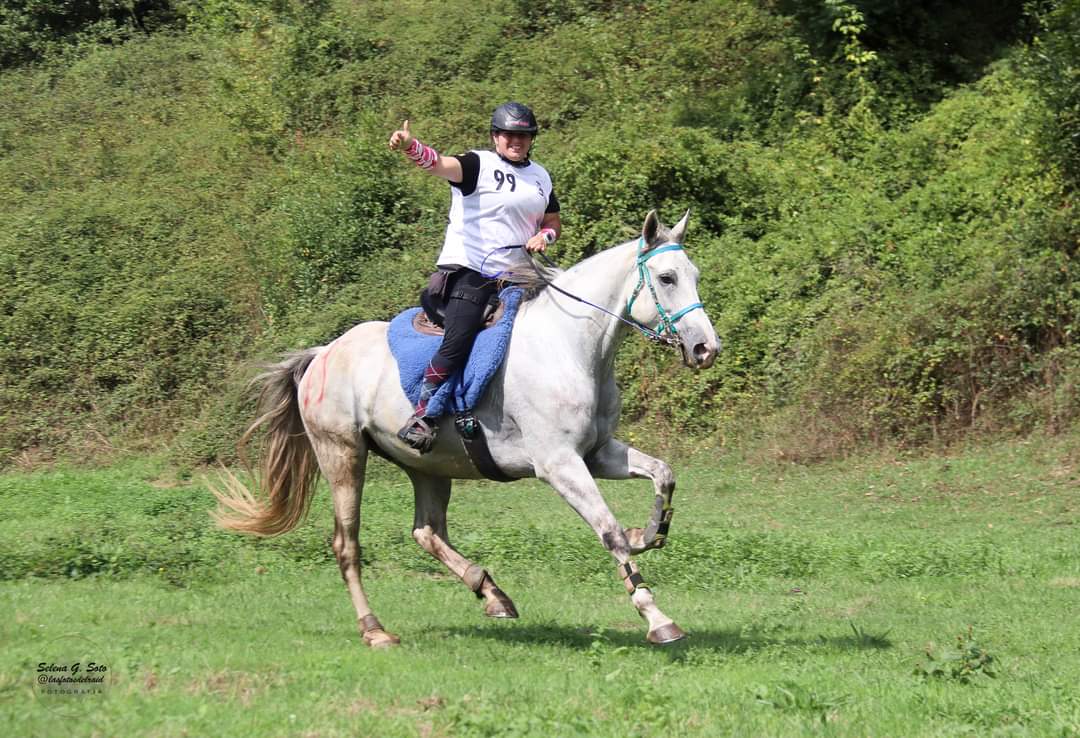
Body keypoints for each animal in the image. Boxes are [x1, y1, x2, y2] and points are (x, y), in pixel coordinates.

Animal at [210, 207, 717, 648]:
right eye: (667, 278)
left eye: (694, 275)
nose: (706, 348)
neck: (568, 348)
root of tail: (322, 353)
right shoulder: (559, 464)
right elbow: (608, 531)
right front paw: (657, 617)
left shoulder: (598, 453)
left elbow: (663, 474)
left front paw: (647, 534)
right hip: (342, 455)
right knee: (347, 544)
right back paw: (376, 630)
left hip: (427, 464)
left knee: (426, 531)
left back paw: (491, 593)